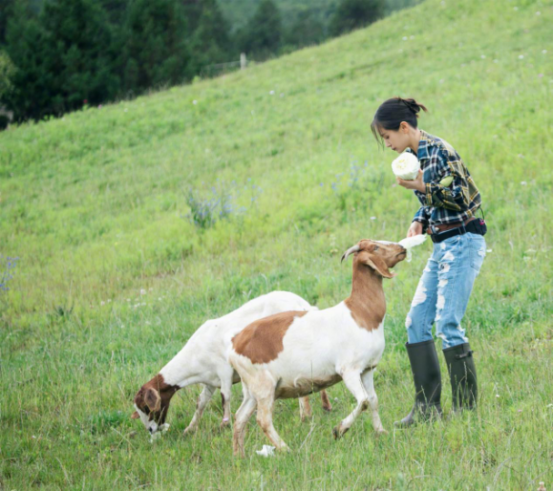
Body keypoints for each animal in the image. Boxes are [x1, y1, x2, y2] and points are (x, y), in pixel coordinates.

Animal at [133, 290, 332, 436]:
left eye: (146, 407)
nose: (151, 430)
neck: (194, 357)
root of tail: (305, 305)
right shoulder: (210, 381)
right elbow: (201, 402)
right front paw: (190, 428)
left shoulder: (224, 371)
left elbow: (225, 397)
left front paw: (224, 424)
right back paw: (325, 406)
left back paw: (305, 415)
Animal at [227, 240, 406, 460]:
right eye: (375, 248)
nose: (402, 249)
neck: (361, 313)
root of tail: (234, 344)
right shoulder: (349, 370)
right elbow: (363, 401)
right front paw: (339, 430)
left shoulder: (367, 369)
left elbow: (373, 400)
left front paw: (381, 432)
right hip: (263, 385)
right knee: (263, 419)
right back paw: (286, 449)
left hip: (251, 388)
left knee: (240, 417)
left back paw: (239, 456)